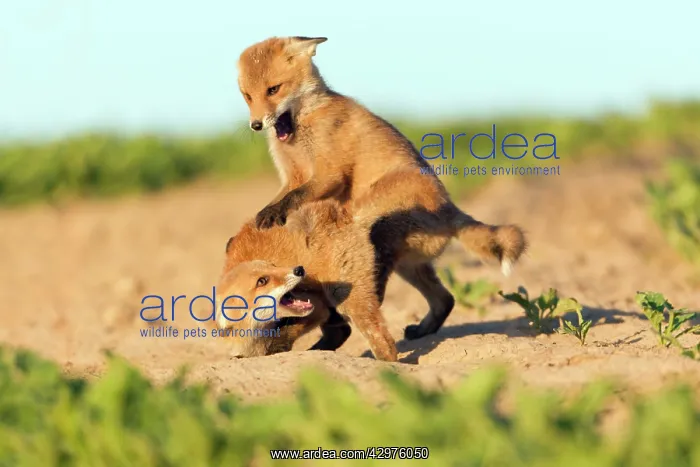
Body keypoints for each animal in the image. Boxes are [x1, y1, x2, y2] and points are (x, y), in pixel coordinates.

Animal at [236, 36, 528, 343]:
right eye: (248, 96)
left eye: (273, 89)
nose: (256, 124)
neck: (303, 126)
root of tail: (451, 210)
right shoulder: (292, 176)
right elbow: (283, 198)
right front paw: (267, 216)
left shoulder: (330, 175)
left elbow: (296, 196)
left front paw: (274, 216)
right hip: (409, 266)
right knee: (445, 299)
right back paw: (421, 330)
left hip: (384, 229)